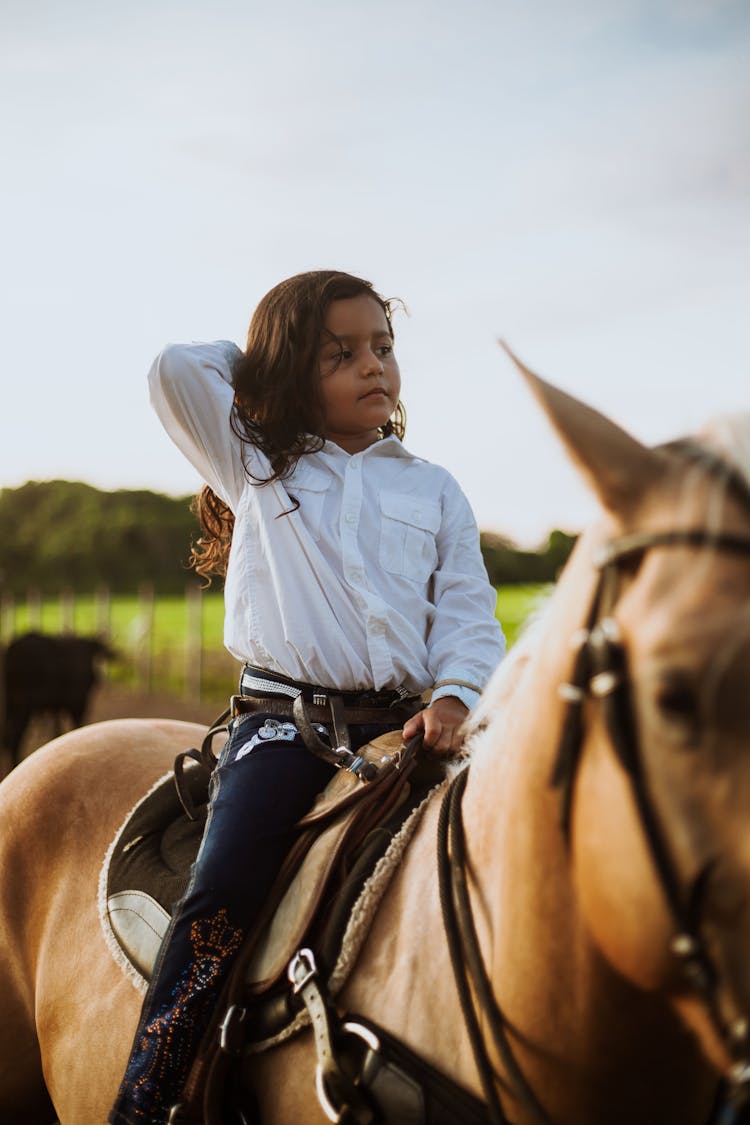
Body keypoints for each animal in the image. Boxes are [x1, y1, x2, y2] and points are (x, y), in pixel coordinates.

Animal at [1, 634, 114, 765]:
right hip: (23, 704)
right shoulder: (78, 704)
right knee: (15, 736)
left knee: (9, 736)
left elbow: (57, 729)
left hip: (12, 702)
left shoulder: (60, 705)